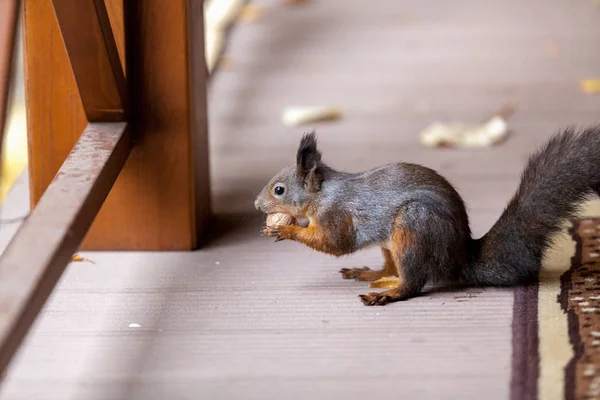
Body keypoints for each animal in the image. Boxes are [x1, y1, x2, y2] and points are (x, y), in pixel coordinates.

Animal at [253, 128, 600, 306]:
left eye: (279, 190)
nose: (257, 206)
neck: (323, 193)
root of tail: (459, 259)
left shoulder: (337, 214)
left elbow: (336, 243)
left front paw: (285, 231)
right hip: (393, 240)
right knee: (393, 266)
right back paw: (374, 274)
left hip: (414, 226)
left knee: (414, 281)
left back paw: (391, 291)